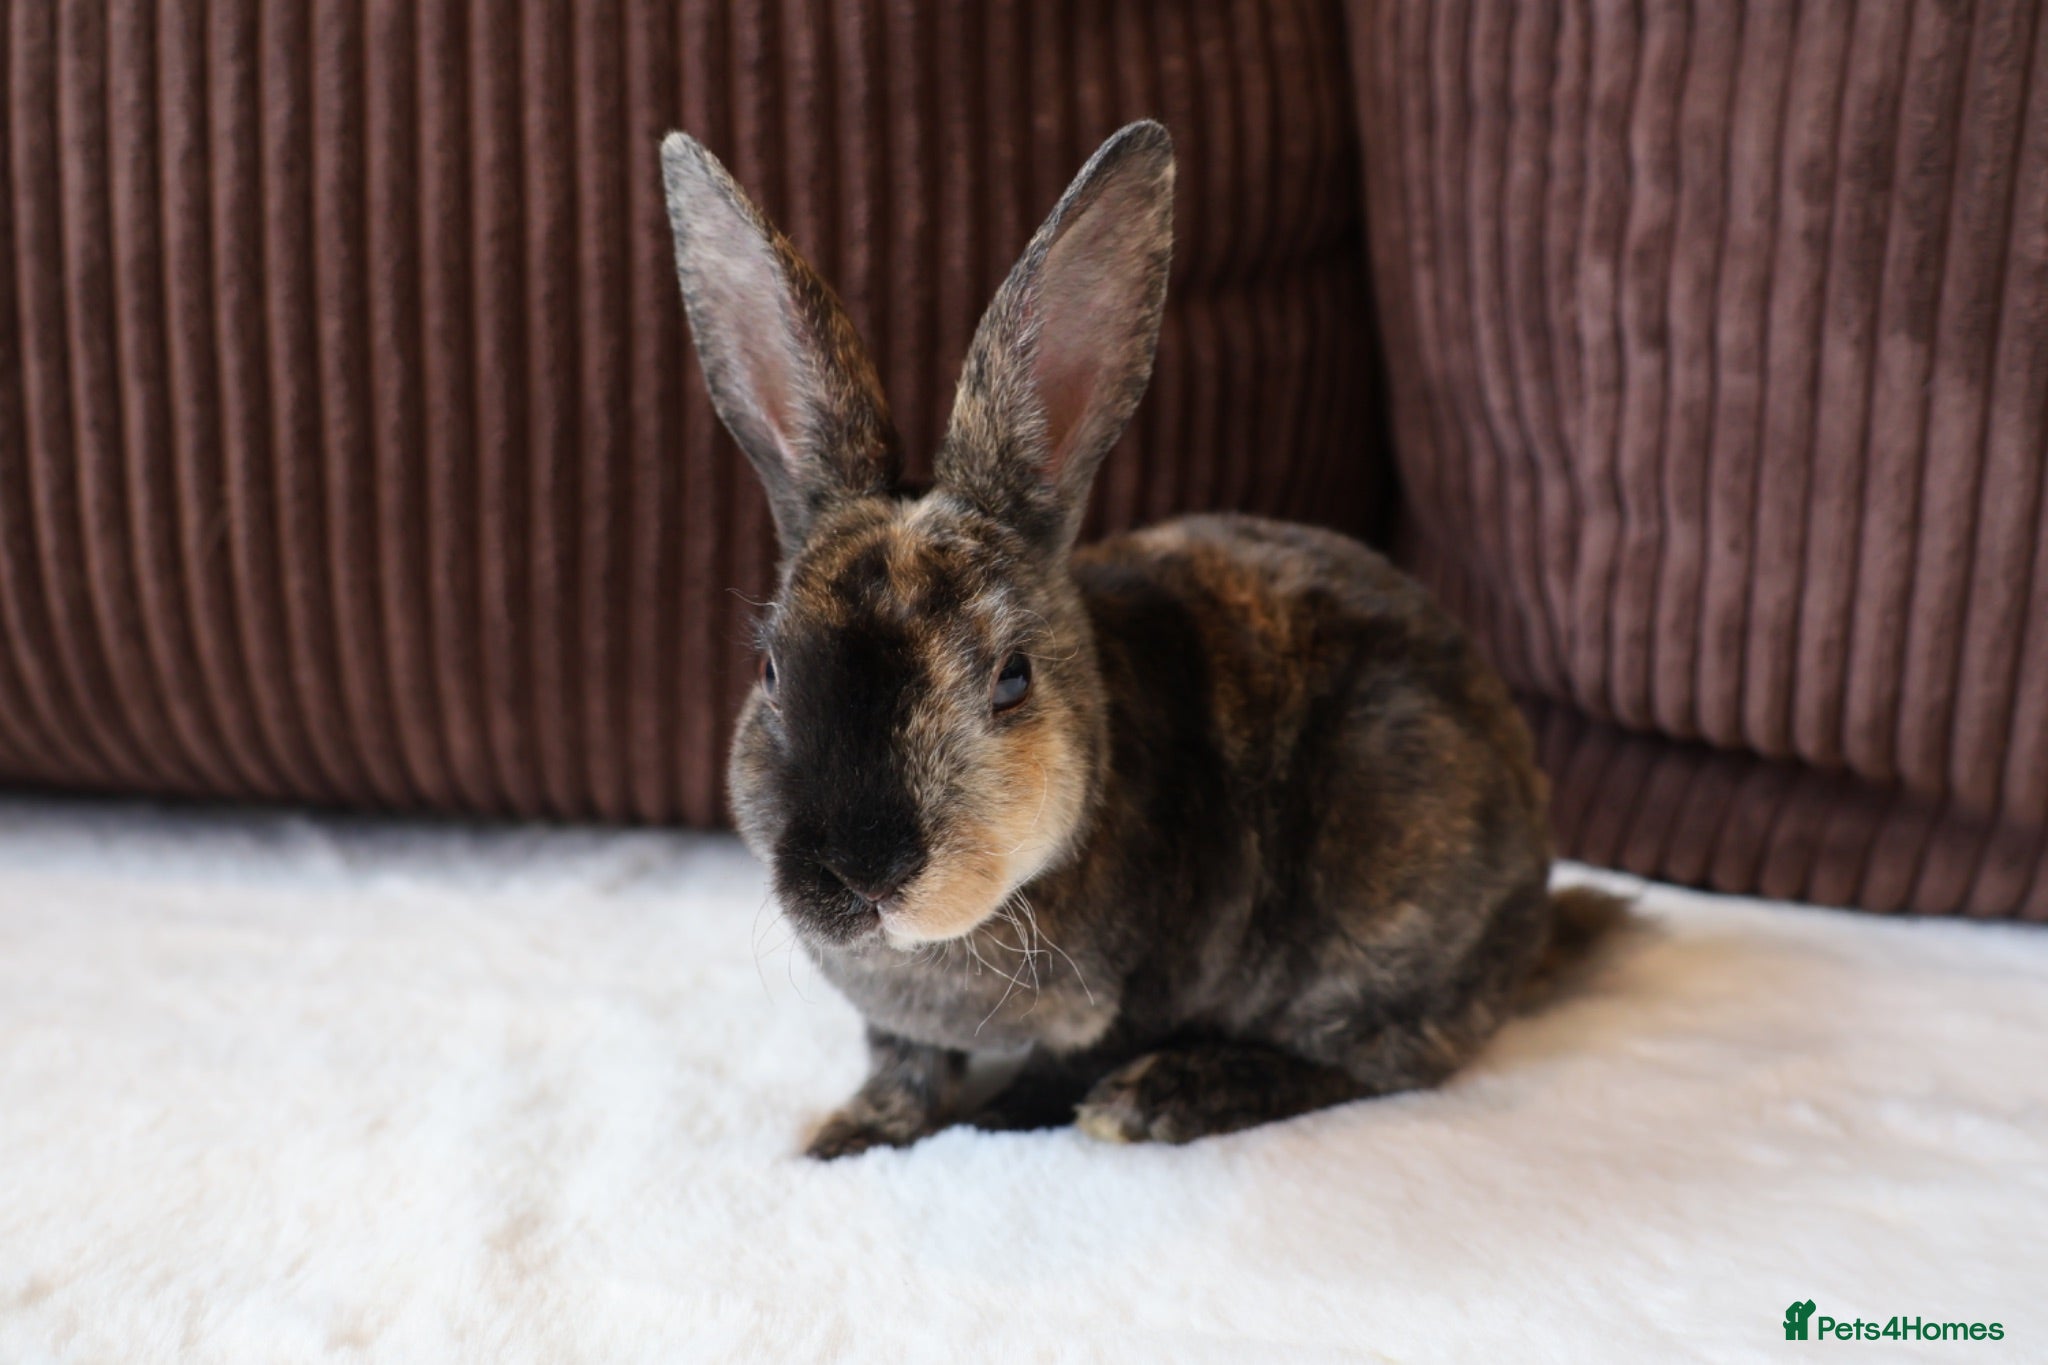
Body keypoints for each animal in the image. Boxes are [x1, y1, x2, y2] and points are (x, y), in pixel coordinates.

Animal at [659, 120, 1621, 1157]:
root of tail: (1531, 921)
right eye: (770, 669)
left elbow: (1056, 1073)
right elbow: (905, 1066)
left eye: (1011, 679)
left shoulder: (1144, 990)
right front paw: (851, 1137)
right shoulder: (898, 1026)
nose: (863, 872)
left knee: (1378, 1060)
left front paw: (1005, 1121)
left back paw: (1169, 1095)